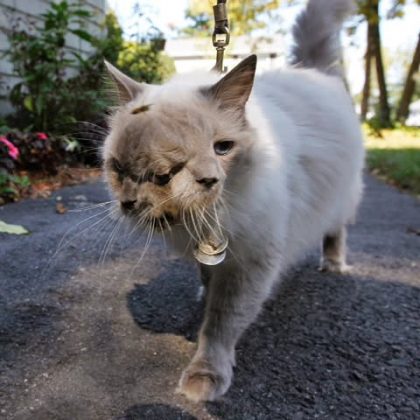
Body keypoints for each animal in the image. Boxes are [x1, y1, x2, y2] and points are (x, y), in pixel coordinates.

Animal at [101, 0, 364, 402]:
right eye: (127, 167)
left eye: (222, 148)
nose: (208, 179)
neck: (203, 219)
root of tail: (311, 70)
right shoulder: (214, 252)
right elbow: (207, 278)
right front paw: (202, 292)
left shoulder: (251, 261)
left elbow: (221, 323)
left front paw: (205, 376)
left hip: (342, 196)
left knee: (336, 230)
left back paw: (333, 264)